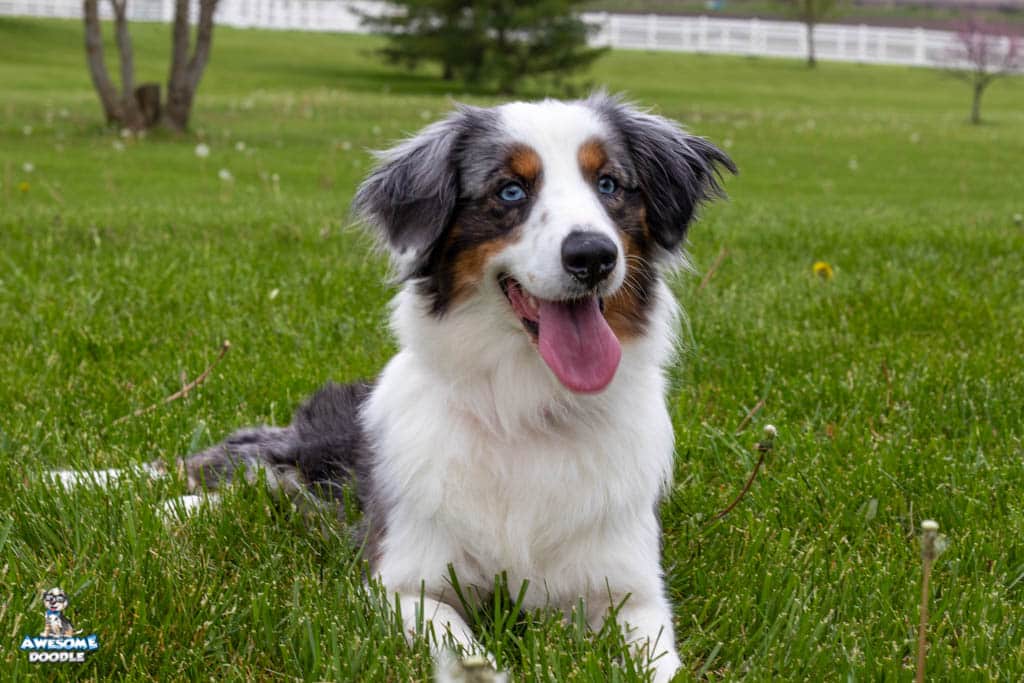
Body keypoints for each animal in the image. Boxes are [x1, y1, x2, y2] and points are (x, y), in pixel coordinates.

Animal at [63, 93, 735, 682]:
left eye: (610, 186)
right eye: (510, 191)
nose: (593, 256)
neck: (527, 407)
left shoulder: (632, 595)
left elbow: (660, 661)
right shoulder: (405, 583)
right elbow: (462, 646)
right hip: (306, 458)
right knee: (228, 470)